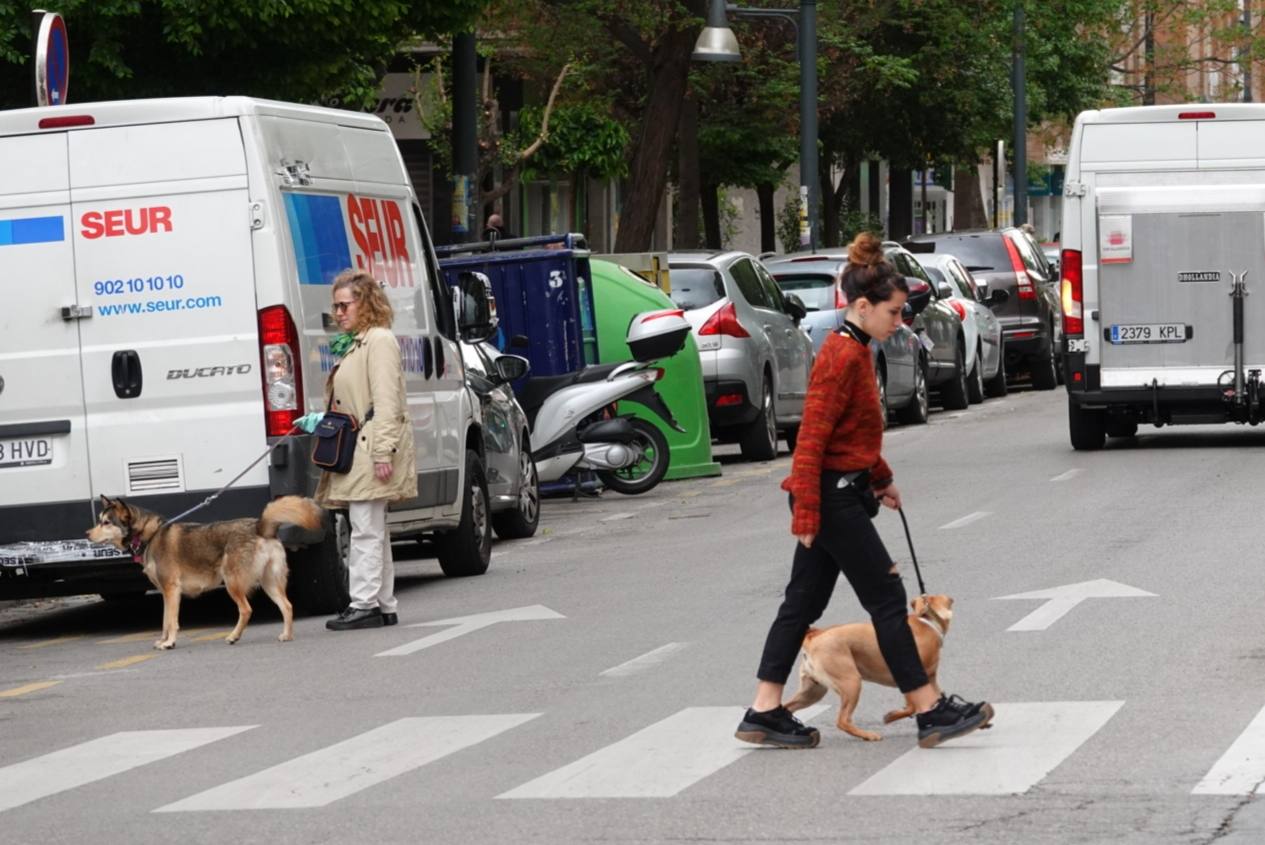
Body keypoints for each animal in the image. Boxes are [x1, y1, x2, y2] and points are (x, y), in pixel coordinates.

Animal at [86, 490, 323, 652]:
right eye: (99, 521)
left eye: (106, 522)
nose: (87, 534)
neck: (149, 535)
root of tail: (260, 526)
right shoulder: (165, 593)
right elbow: (164, 621)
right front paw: (163, 640)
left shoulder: (172, 590)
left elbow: (171, 621)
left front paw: (169, 642)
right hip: (269, 582)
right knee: (287, 606)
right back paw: (286, 635)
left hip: (232, 582)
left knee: (246, 610)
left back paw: (234, 636)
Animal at [784, 594, 951, 738]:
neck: (927, 624)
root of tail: (814, 635)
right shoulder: (909, 677)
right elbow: (912, 707)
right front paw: (891, 717)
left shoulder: (929, 679)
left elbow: (935, 697)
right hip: (851, 683)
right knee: (842, 721)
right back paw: (867, 735)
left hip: (812, 692)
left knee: (787, 707)